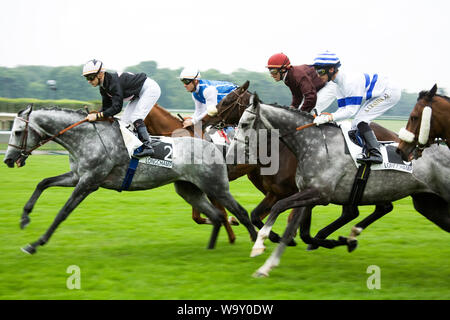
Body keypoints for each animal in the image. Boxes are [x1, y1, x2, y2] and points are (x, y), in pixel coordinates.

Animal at [204, 80, 400, 250]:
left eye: (226, 100)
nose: (206, 120)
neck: (281, 149)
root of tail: (397, 137)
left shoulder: (310, 193)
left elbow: (303, 231)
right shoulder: (277, 193)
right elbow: (256, 216)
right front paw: (277, 237)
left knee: (368, 210)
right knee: (365, 210)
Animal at [232, 95, 450, 278]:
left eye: (244, 123)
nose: (232, 151)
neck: (312, 144)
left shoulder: (319, 194)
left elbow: (279, 209)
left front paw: (260, 243)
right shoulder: (306, 194)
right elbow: (290, 230)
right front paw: (266, 265)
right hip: (428, 204)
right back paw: (349, 237)